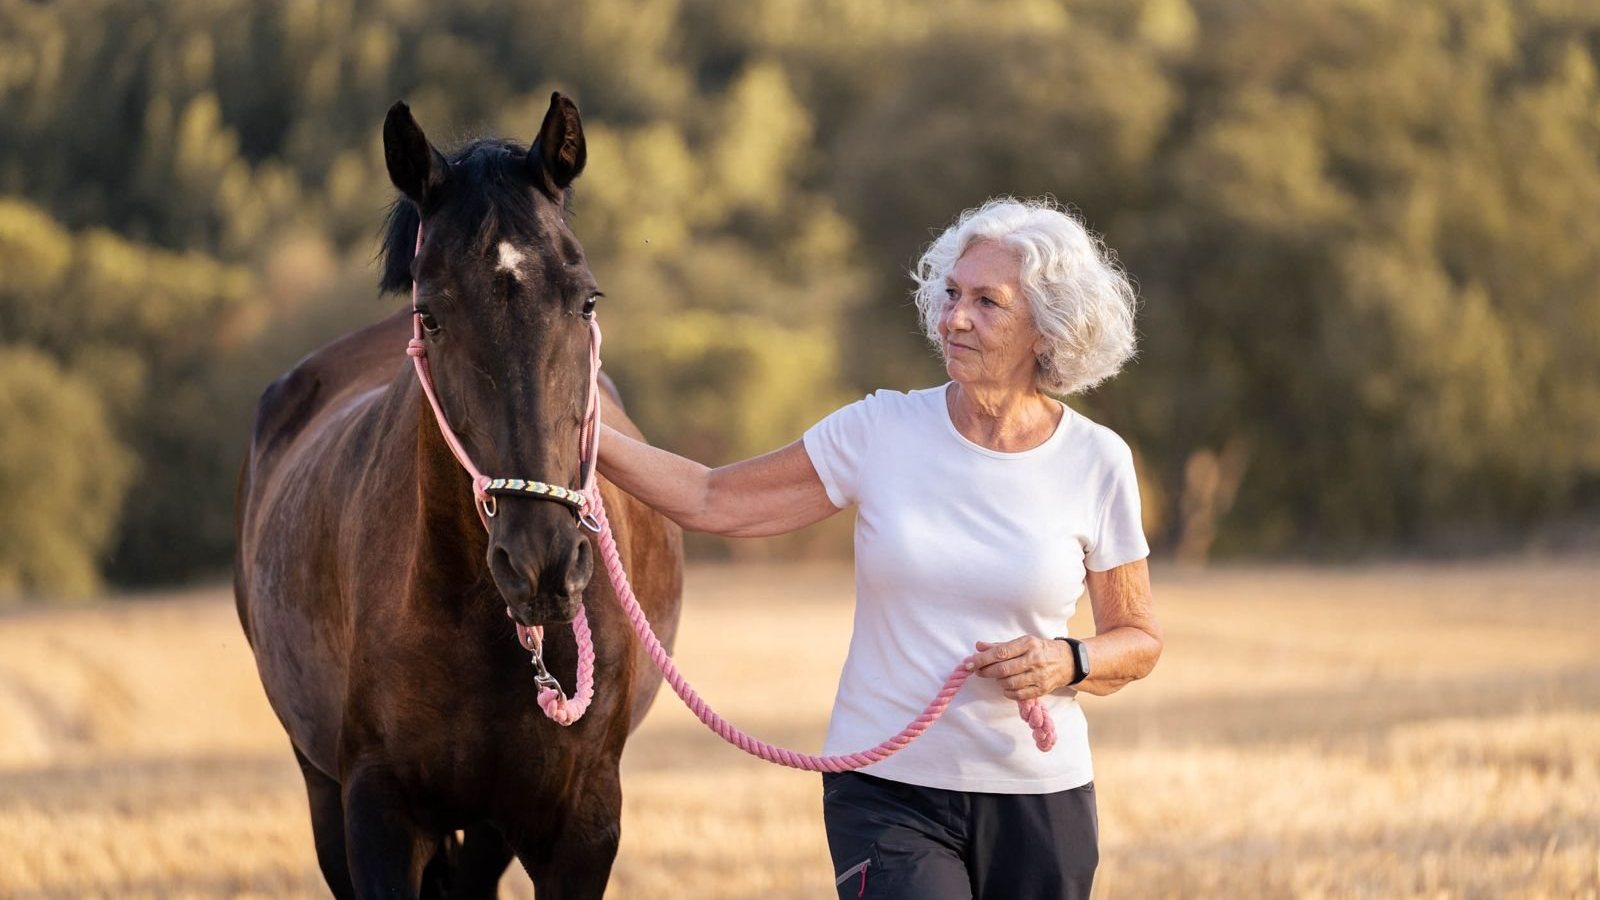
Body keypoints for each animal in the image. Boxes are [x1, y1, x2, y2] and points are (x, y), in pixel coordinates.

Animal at [233, 93, 683, 899]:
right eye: (432, 314)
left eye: (586, 300)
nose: (541, 564)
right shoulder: (376, 814)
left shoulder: (581, 825)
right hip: (321, 787)